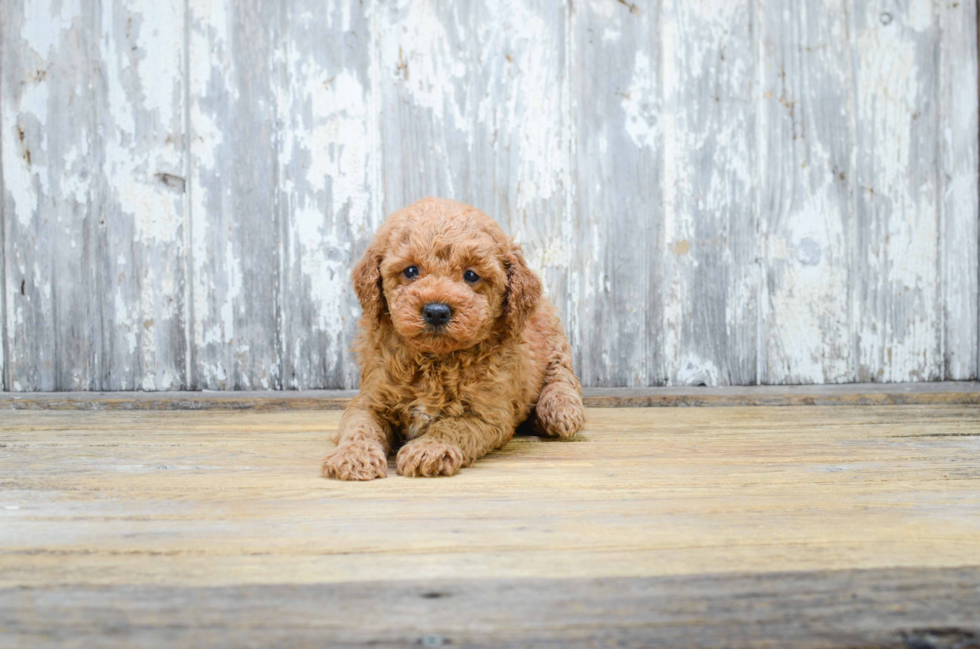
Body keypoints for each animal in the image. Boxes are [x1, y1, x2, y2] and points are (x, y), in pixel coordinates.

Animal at [322, 195, 584, 478]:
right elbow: (360, 425)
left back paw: (560, 410)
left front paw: (429, 449)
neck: (435, 360)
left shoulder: (487, 414)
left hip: (556, 340)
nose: (436, 311)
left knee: (562, 376)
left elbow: (453, 426)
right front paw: (354, 455)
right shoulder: (369, 399)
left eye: (471, 275)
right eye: (411, 271)